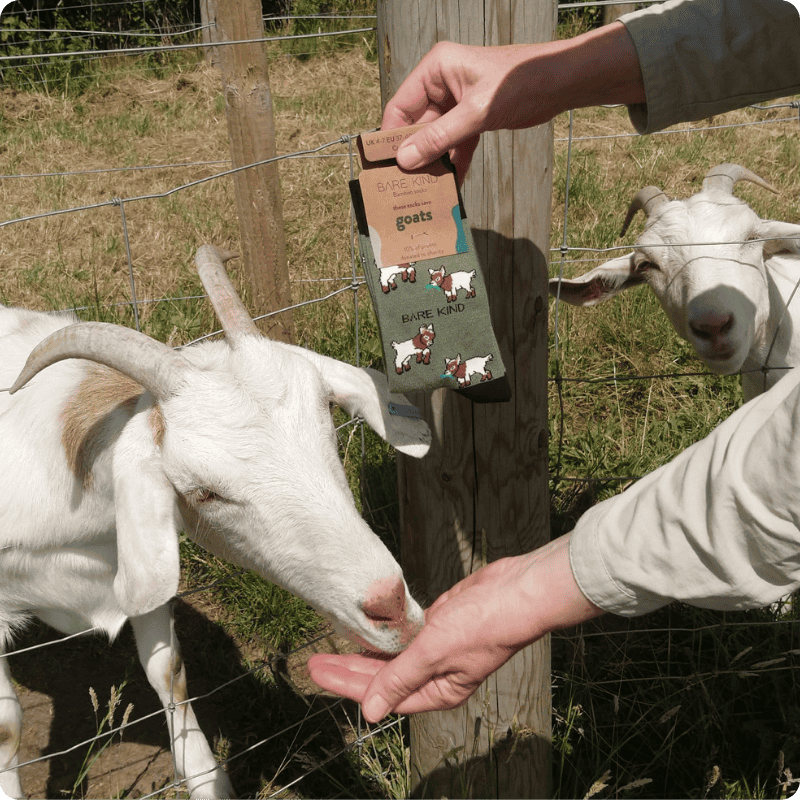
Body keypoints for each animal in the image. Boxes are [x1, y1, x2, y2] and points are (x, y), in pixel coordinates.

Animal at [0, 245, 430, 799]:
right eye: (205, 492)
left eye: (331, 430)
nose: (392, 607)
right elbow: (8, 725)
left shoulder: (133, 560)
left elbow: (168, 670)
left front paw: (207, 779)